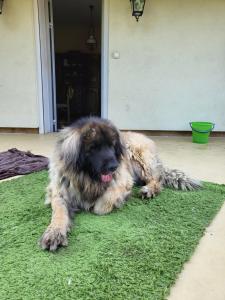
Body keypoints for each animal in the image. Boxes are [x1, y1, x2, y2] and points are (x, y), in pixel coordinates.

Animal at [39, 117, 201, 251]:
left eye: (112, 146)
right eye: (93, 148)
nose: (114, 166)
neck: (88, 178)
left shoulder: (123, 181)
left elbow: (100, 206)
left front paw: (116, 200)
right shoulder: (59, 191)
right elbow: (59, 211)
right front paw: (54, 232)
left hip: (140, 156)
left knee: (157, 179)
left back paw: (149, 189)